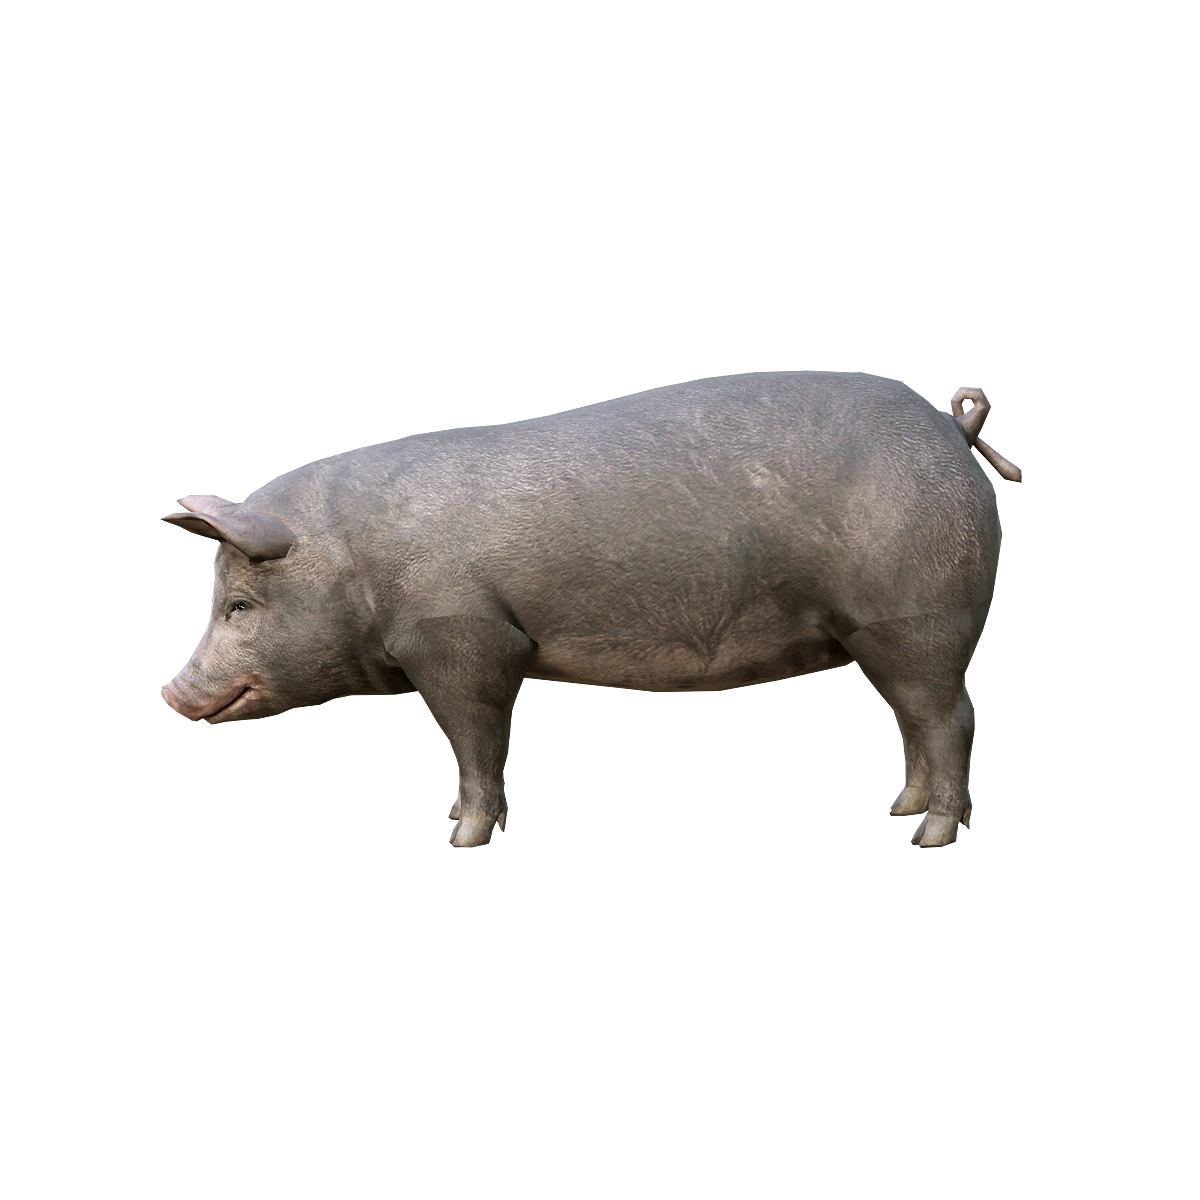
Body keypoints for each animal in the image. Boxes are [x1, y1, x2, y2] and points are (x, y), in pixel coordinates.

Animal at [161, 372, 1007, 847]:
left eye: (239, 605)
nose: (173, 690)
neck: (357, 558)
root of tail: (949, 425)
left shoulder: (467, 641)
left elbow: (477, 745)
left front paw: (457, 840)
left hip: (919, 615)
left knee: (952, 719)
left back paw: (927, 838)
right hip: (879, 634)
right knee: (918, 719)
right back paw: (897, 808)